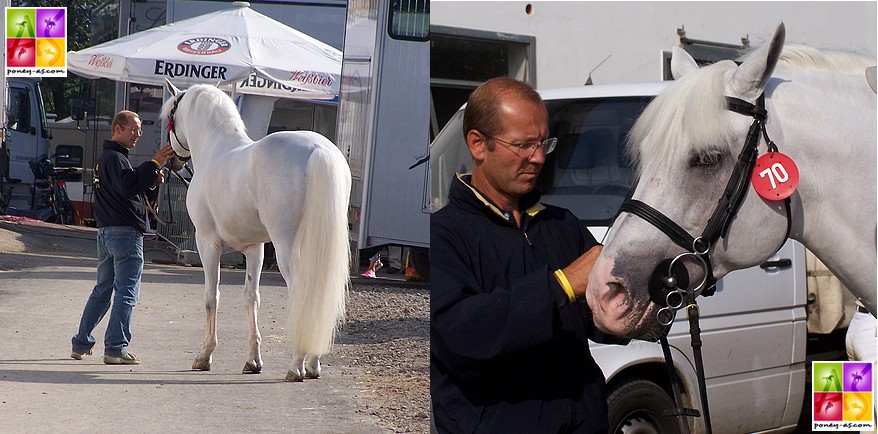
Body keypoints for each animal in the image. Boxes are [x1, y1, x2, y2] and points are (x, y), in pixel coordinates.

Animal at [160, 83, 352, 382]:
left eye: (170, 113)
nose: (172, 161)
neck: (216, 149)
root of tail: (319, 150)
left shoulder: (207, 242)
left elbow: (211, 297)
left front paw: (205, 356)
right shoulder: (255, 248)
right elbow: (251, 298)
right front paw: (253, 360)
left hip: (287, 247)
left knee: (301, 294)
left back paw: (296, 366)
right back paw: (312, 364)